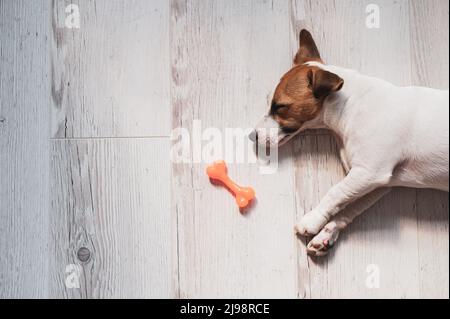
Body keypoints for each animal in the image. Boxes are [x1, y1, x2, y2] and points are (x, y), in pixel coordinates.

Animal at [251, 30, 448, 258]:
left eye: (280, 106)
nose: (252, 135)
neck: (351, 105)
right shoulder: (377, 183)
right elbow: (347, 207)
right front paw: (326, 232)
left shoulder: (369, 172)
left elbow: (335, 193)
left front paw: (312, 219)